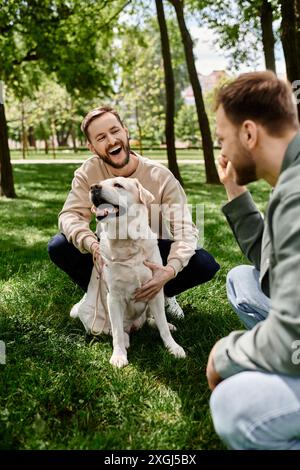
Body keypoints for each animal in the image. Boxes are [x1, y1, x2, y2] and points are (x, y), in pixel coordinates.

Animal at [72, 176, 185, 368]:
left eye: (118, 185)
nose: (93, 187)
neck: (126, 242)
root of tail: (133, 326)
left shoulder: (155, 290)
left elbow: (162, 326)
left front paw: (173, 347)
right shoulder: (114, 297)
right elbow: (117, 332)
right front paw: (118, 356)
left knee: (152, 320)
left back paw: (167, 325)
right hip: (94, 318)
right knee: (117, 331)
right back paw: (124, 341)